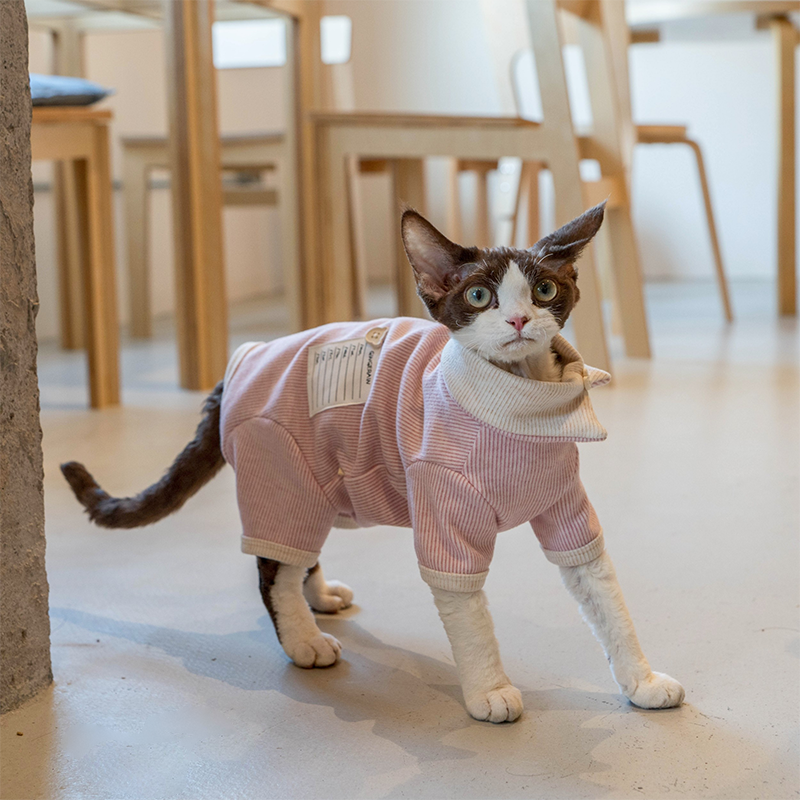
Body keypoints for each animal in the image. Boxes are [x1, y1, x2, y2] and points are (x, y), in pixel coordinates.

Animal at [62, 202, 684, 723]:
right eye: (479, 297)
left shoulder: (565, 507)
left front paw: (642, 681)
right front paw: (489, 691)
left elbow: (605, 596)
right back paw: (303, 640)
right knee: (272, 566)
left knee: (296, 551)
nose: (517, 321)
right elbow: (471, 618)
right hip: (280, 469)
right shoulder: (441, 507)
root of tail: (244, 358)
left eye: (545, 289)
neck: (522, 405)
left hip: (315, 484)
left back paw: (318, 598)